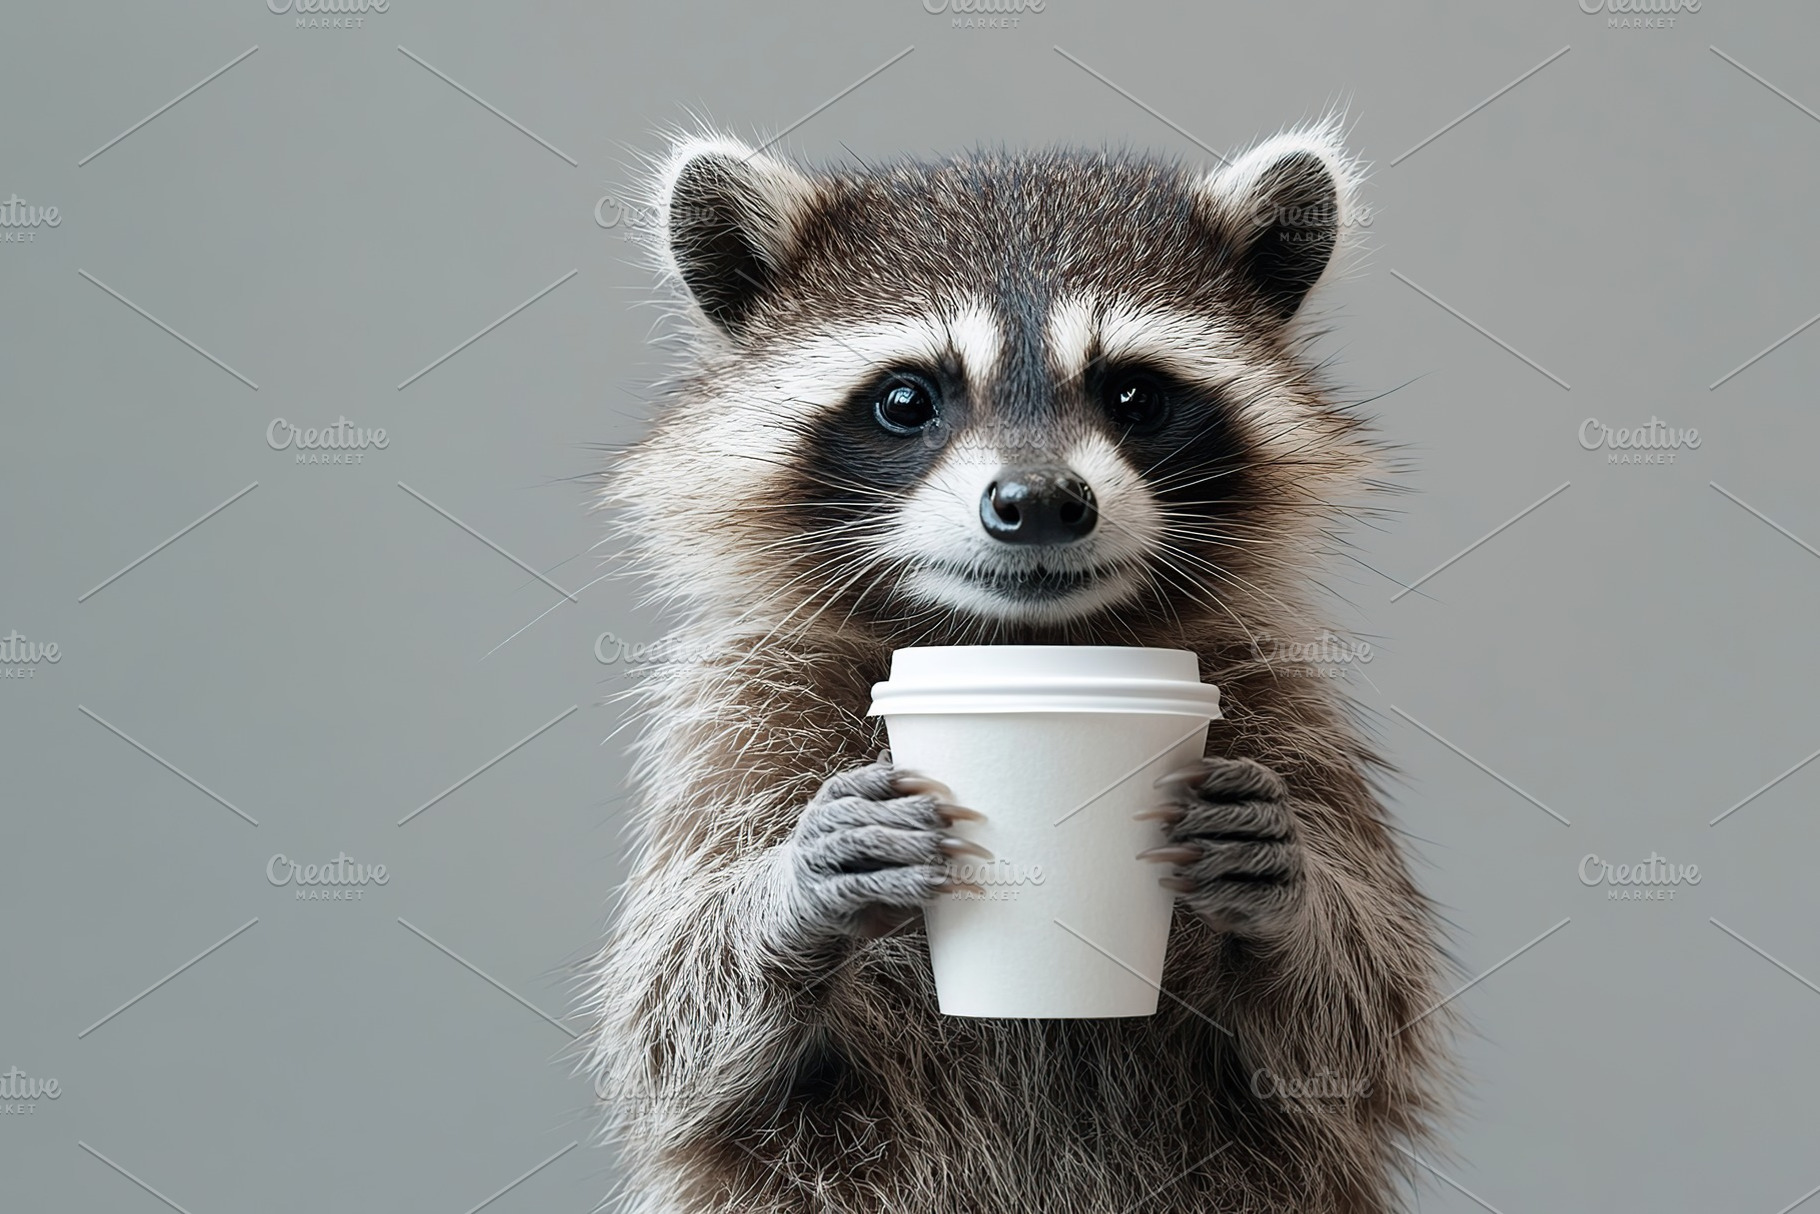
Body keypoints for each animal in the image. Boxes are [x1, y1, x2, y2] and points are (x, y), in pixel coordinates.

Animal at [583, 121, 1454, 1214]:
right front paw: (792, 888)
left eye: (1134, 393)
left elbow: (1364, 1023)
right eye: (905, 398)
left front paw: (1285, 896)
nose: (1038, 500)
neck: (1016, 645)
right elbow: (668, 1023)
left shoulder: (1283, 700)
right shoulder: (738, 713)